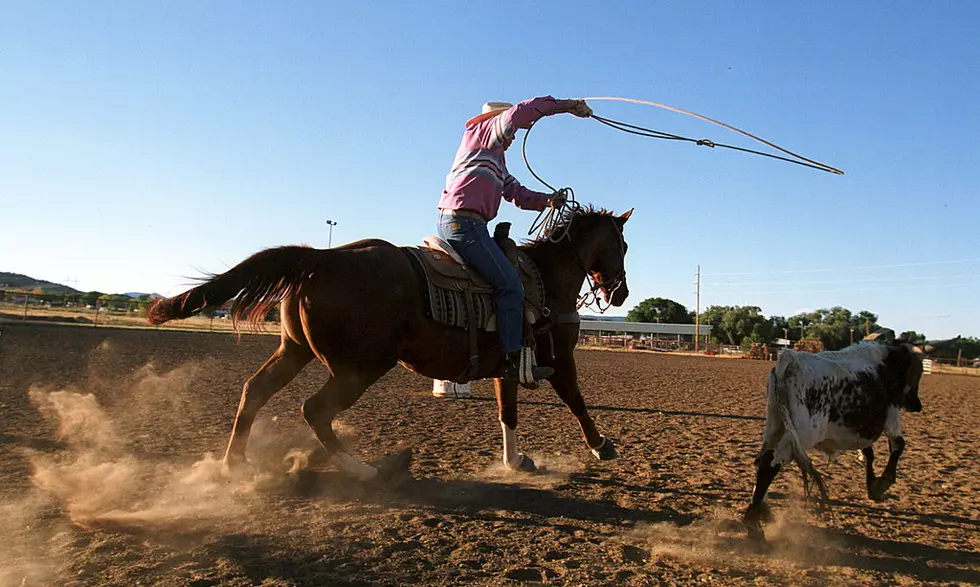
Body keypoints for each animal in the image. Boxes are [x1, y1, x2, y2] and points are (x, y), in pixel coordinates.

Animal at [148, 209, 632, 480]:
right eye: (623, 244)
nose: (620, 293)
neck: (546, 278)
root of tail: (321, 257)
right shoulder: (559, 358)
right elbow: (576, 400)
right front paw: (602, 446)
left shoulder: (509, 366)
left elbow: (507, 413)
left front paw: (516, 463)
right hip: (360, 367)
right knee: (314, 410)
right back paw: (366, 471)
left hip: (294, 351)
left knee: (255, 391)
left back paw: (235, 465)